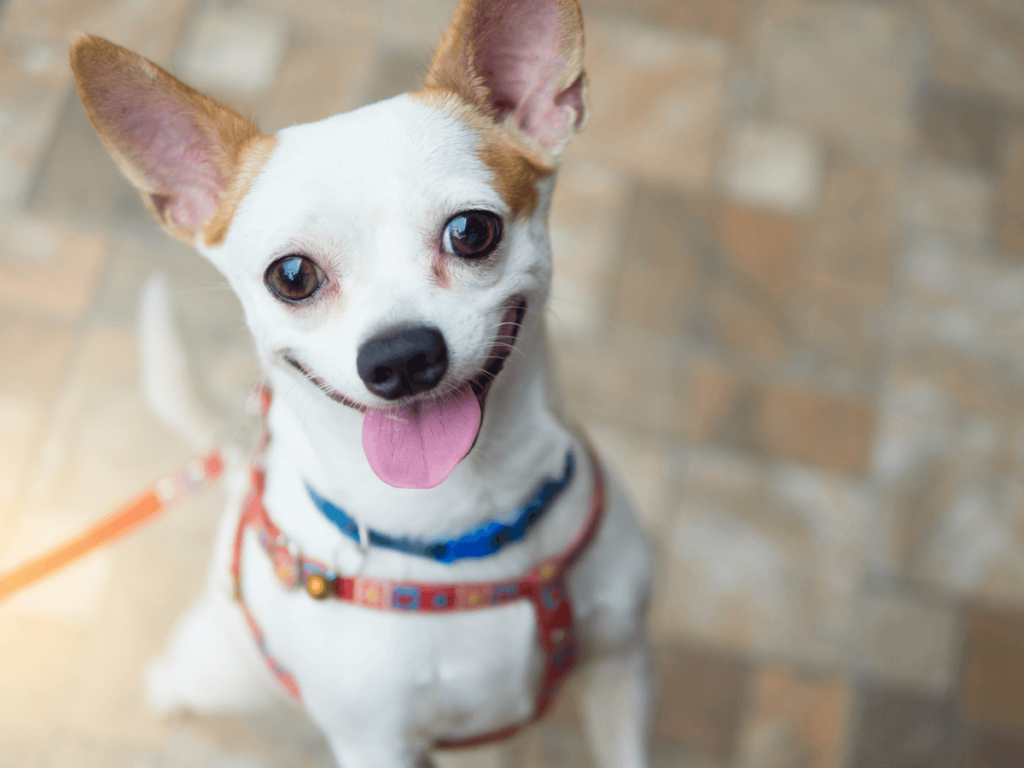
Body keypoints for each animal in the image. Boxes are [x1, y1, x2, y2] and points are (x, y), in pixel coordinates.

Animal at [68, 3, 651, 765]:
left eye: (472, 231)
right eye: (292, 276)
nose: (400, 355)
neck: (469, 528)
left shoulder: (620, 670)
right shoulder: (375, 742)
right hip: (222, 671)